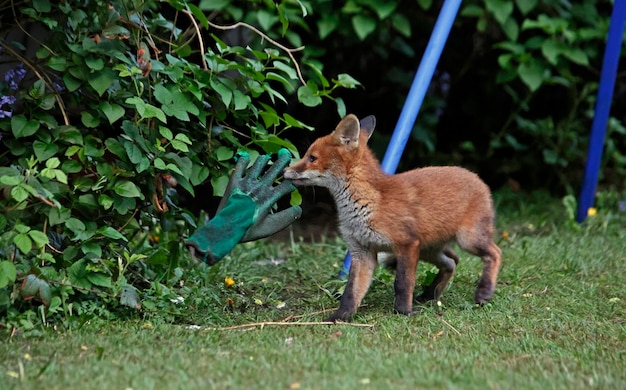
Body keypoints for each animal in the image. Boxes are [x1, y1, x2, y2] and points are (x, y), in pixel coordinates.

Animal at [286, 114, 500, 322]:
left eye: (312, 157)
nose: (285, 171)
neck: (367, 204)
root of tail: (477, 177)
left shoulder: (407, 244)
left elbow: (402, 283)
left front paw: (404, 312)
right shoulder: (361, 252)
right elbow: (351, 292)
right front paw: (339, 317)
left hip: (467, 240)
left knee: (495, 253)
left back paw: (483, 292)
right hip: (429, 249)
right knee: (452, 262)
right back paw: (430, 295)